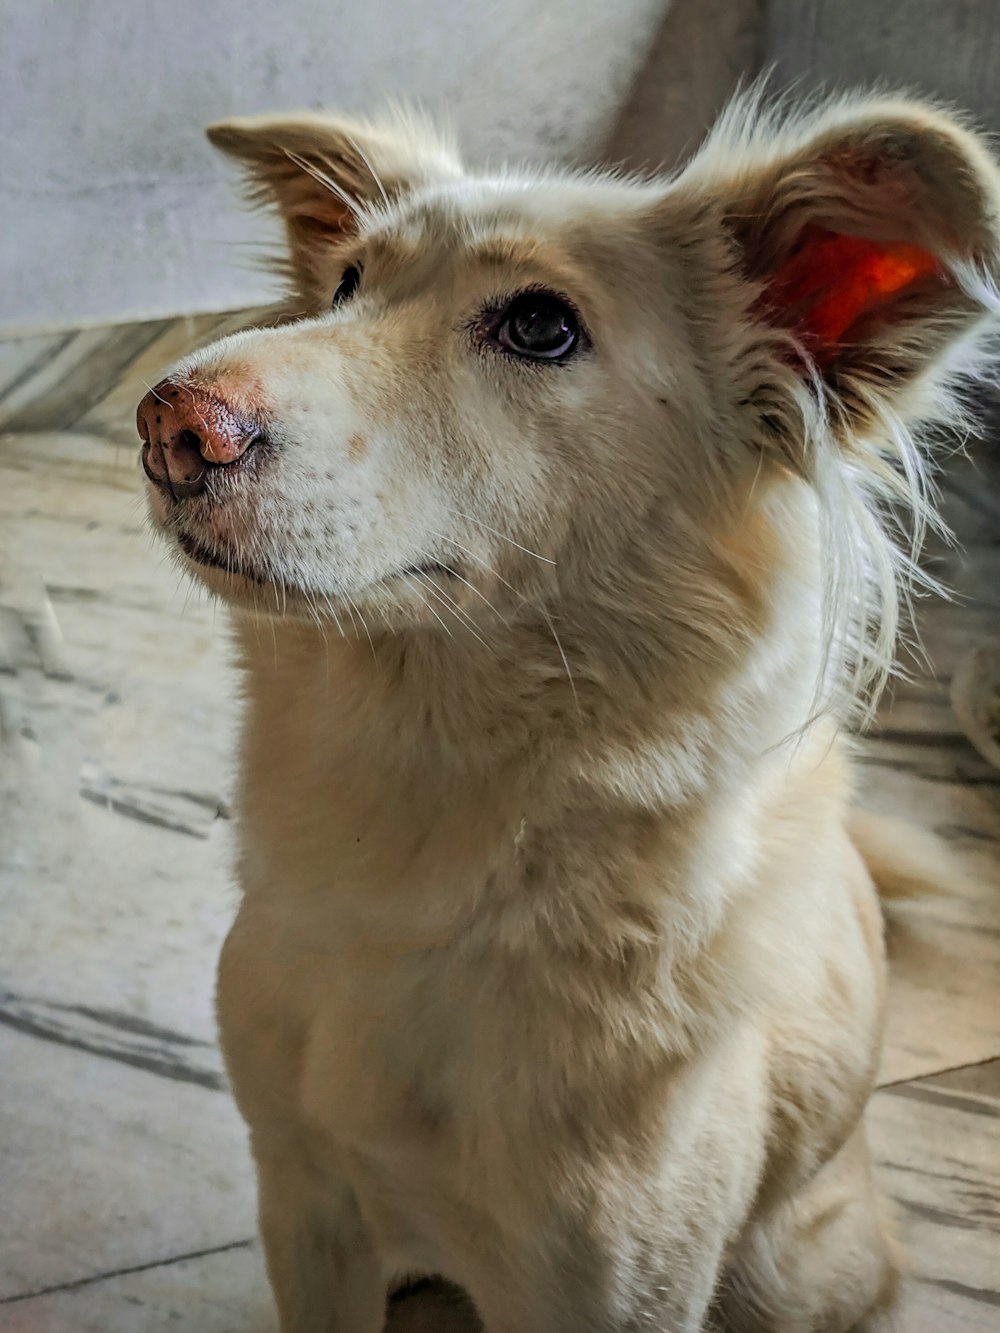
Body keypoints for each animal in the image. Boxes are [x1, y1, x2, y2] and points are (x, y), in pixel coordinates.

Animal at [137, 88, 1000, 1327]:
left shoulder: (607, 1281)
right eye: (345, 282)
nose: (171, 424)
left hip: (794, 1267)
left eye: (541, 327)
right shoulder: (303, 1203)